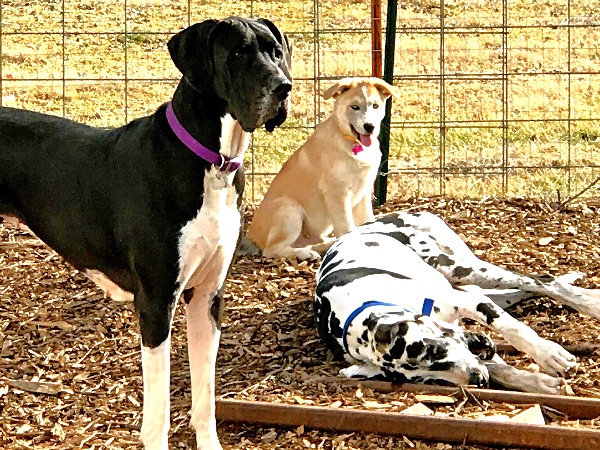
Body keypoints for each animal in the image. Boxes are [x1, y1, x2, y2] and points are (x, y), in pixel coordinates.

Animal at [0, 17, 291, 450]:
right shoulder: (156, 302)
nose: (283, 87)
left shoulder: (208, 296)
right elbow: (158, 409)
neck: (212, 164)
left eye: (276, 51)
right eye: (237, 53)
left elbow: (205, 395)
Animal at [246, 77, 399, 260]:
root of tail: (251, 236)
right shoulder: (337, 193)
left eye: (375, 106)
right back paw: (305, 254)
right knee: (273, 250)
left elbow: (367, 220)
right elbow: (347, 226)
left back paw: (324, 246)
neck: (352, 143)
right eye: (354, 106)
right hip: (289, 209)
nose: (369, 126)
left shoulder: (364, 190)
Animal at [312, 211, 600, 395]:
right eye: (424, 379)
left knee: (542, 280)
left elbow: (515, 329)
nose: (478, 380)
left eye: (434, 351)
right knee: (524, 288)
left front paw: (549, 355)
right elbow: (499, 367)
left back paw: (590, 303)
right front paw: (536, 382)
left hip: (460, 268)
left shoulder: (469, 302)